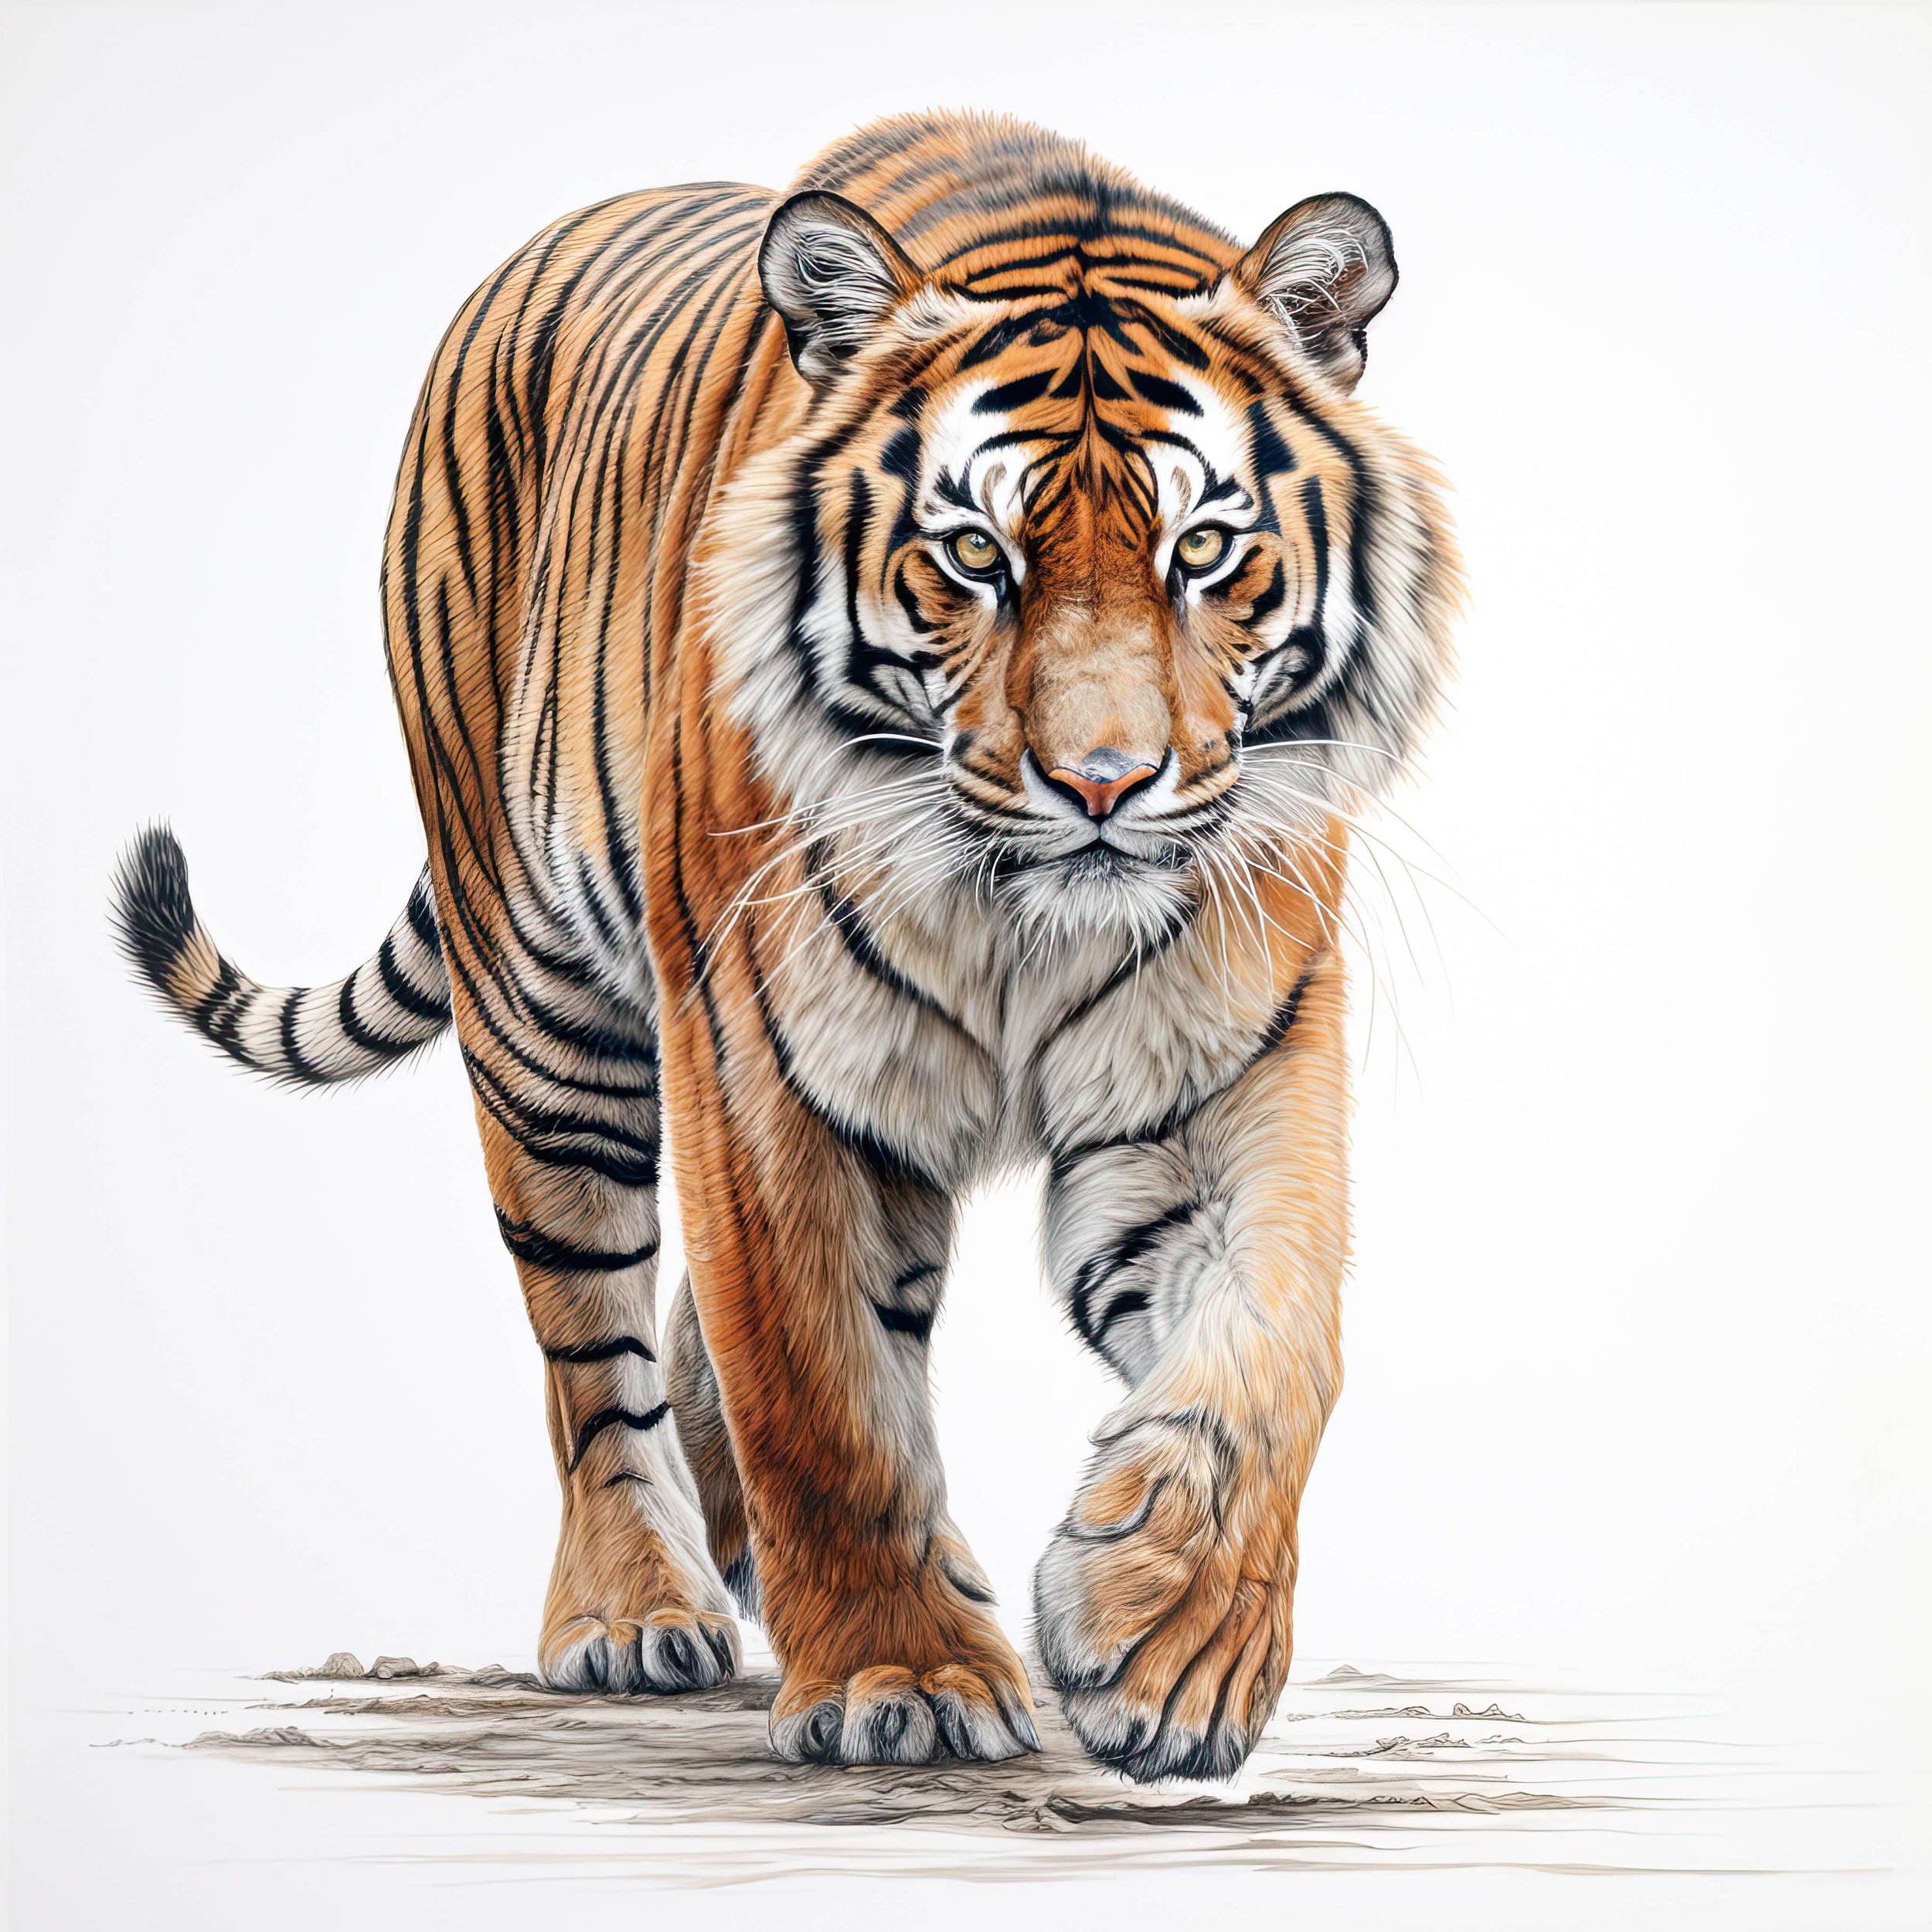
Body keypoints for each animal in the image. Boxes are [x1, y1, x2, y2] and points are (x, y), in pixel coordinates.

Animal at [112, 109, 1460, 1781]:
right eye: (974, 555)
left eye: (1204, 548)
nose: (1102, 784)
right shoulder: (762, 1064)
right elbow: (818, 1388)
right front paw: (906, 1680)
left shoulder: (1227, 1067)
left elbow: (1278, 1344)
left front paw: (1174, 1647)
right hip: (545, 1017)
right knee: (592, 1353)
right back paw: (636, 1610)